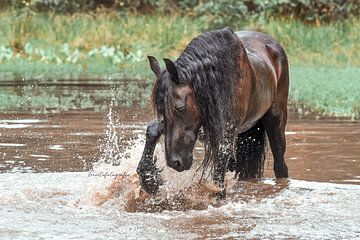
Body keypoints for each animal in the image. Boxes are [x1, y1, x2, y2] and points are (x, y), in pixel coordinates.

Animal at [136, 27, 288, 195]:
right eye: (160, 110)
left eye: (180, 108)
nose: (175, 162)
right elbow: (153, 129)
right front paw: (150, 179)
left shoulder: (226, 133)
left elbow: (218, 174)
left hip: (275, 121)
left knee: (280, 164)